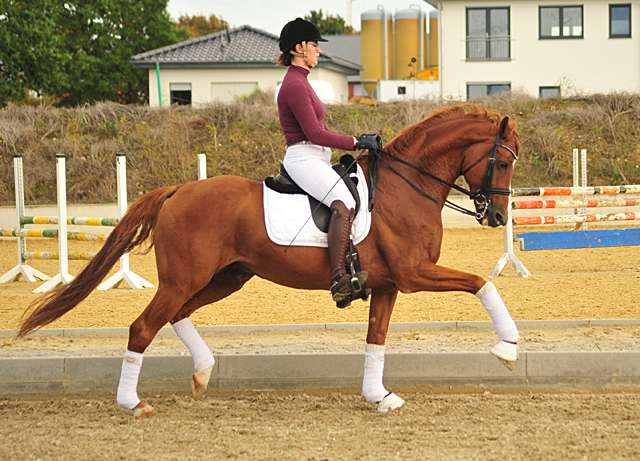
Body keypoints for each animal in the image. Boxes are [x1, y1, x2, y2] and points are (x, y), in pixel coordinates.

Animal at [18, 104, 520, 416]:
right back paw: (133, 403)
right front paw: (507, 348)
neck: (404, 187)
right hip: (185, 279)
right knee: (143, 327)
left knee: (176, 315)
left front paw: (379, 396)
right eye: (502, 162)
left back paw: (203, 372)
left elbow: (376, 339)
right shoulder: (415, 274)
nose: (496, 216)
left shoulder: (388, 284)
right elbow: (483, 283)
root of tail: (178, 191)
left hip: (226, 277)